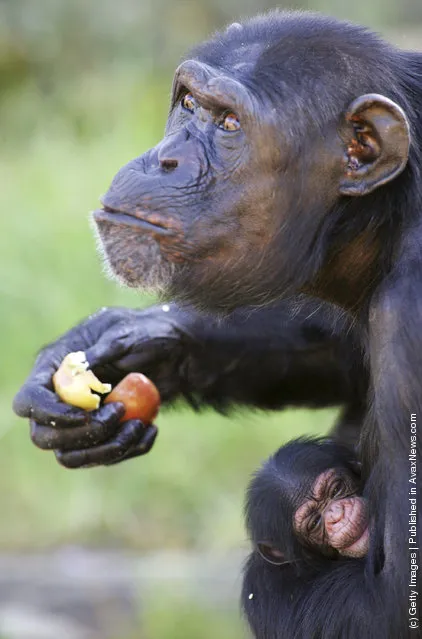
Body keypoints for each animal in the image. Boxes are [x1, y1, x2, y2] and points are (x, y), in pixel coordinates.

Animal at [12, 11, 418, 639]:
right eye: (188, 104)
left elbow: (390, 602)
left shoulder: (409, 318)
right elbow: (340, 353)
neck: (383, 218)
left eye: (228, 123)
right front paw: (105, 346)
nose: (165, 158)